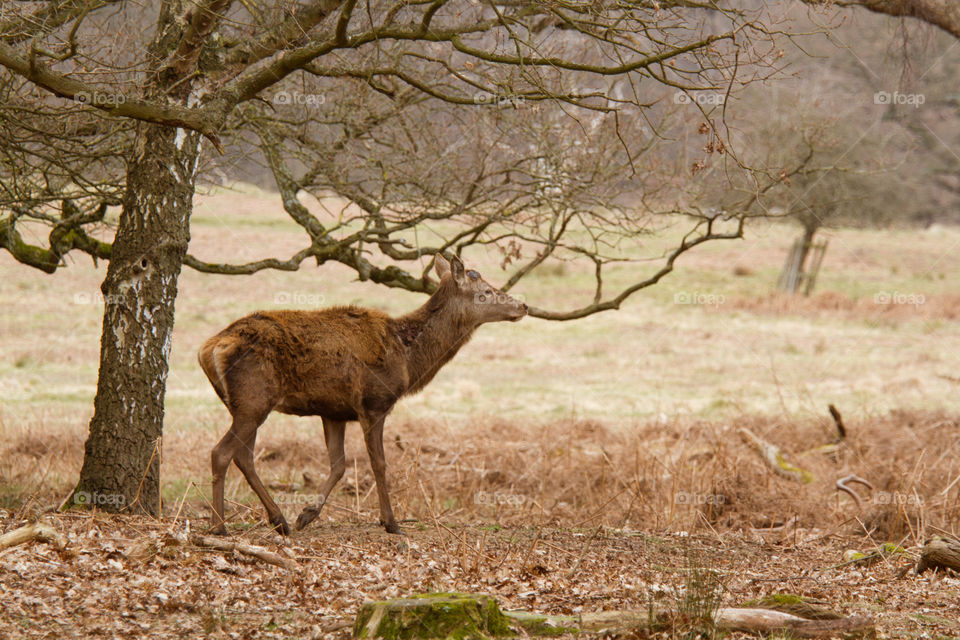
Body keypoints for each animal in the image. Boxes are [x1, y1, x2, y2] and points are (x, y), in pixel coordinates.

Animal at [199, 255, 528, 536]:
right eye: (485, 291)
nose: (523, 305)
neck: (408, 358)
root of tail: (209, 348)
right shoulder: (374, 403)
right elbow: (379, 463)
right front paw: (391, 522)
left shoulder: (333, 411)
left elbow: (339, 465)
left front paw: (307, 514)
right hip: (253, 399)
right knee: (221, 452)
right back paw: (219, 526)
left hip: (243, 404)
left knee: (244, 456)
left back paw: (279, 520)